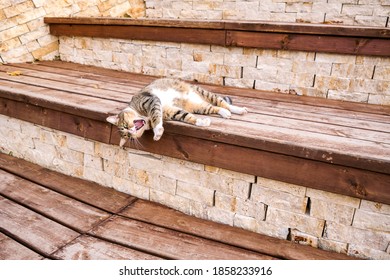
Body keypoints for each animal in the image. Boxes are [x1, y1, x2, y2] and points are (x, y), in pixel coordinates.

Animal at [105, 77, 248, 148]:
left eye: (124, 125)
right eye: (128, 136)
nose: (130, 131)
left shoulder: (150, 101)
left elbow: (156, 115)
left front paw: (158, 131)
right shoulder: (171, 111)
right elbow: (186, 116)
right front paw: (202, 122)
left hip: (203, 92)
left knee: (222, 102)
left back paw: (238, 110)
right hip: (198, 106)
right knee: (214, 108)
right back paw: (224, 113)